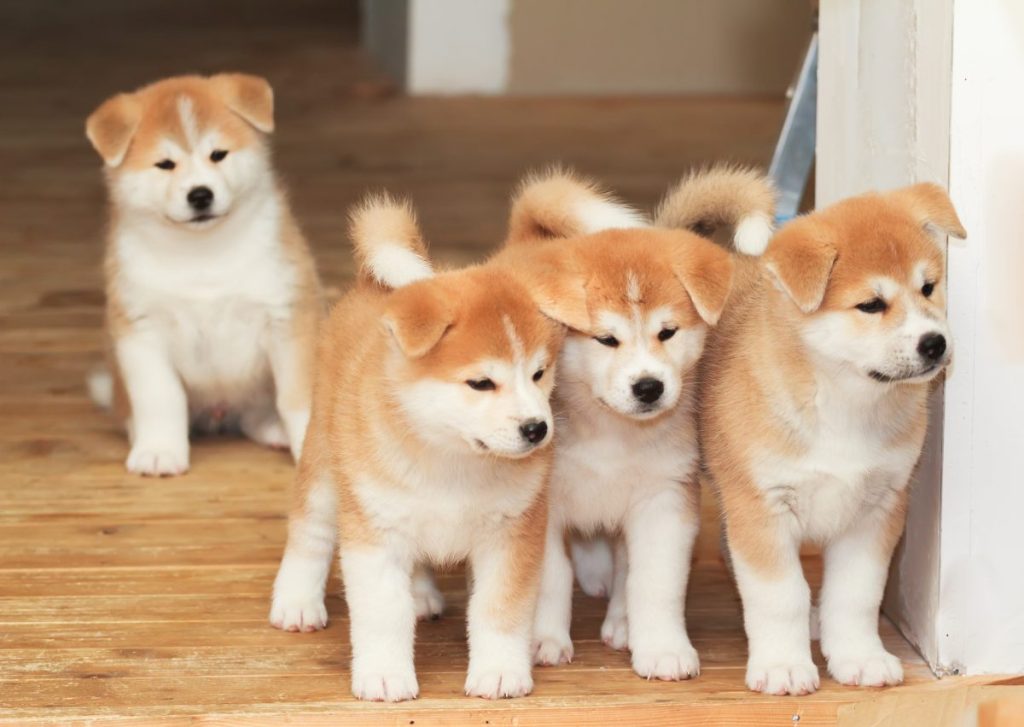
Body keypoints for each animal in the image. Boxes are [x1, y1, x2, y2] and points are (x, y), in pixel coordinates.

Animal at [84, 71, 319, 475]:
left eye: (218, 154)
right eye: (165, 164)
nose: (200, 195)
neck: (202, 254)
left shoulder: (286, 318)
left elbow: (296, 398)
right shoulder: (143, 331)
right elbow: (161, 399)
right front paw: (160, 451)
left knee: (257, 414)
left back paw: (275, 431)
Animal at [270, 196, 577, 704]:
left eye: (539, 373)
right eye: (481, 383)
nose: (537, 429)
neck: (450, 460)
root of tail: (370, 284)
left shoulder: (510, 535)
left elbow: (498, 611)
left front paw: (499, 672)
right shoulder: (375, 535)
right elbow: (382, 614)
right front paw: (384, 675)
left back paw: (420, 595)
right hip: (326, 470)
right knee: (309, 532)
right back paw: (296, 602)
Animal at [688, 182, 966, 696]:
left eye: (928, 287)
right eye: (871, 304)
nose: (935, 343)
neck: (845, 406)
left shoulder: (877, 511)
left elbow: (855, 595)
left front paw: (859, 656)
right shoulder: (764, 510)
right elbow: (781, 596)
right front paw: (782, 664)